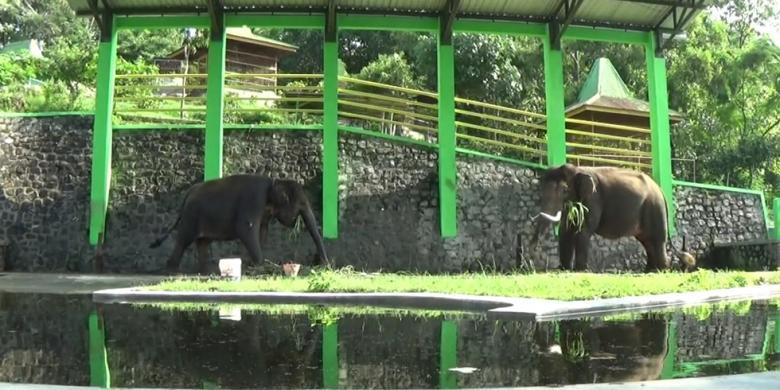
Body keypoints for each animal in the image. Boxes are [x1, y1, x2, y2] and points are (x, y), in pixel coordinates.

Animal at [149, 174, 326, 274]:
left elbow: (262, 231)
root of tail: (189, 192)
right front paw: (261, 266)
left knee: (203, 242)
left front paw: (252, 266)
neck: (274, 182)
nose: (325, 265)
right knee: (184, 240)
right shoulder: (254, 198)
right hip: (191, 217)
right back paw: (173, 271)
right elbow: (247, 228)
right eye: (301, 204)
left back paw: (207, 272)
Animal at [532, 163, 692, 272]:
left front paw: (580, 271)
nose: (534, 246)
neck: (577, 169)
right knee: (647, 242)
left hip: (654, 208)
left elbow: (584, 230)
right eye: (540, 190)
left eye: (564, 190)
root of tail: (661, 190)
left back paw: (661, 271)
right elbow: (565, 232)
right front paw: (564, 270)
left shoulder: (594, 199)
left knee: (657, 241)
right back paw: (649, 271)